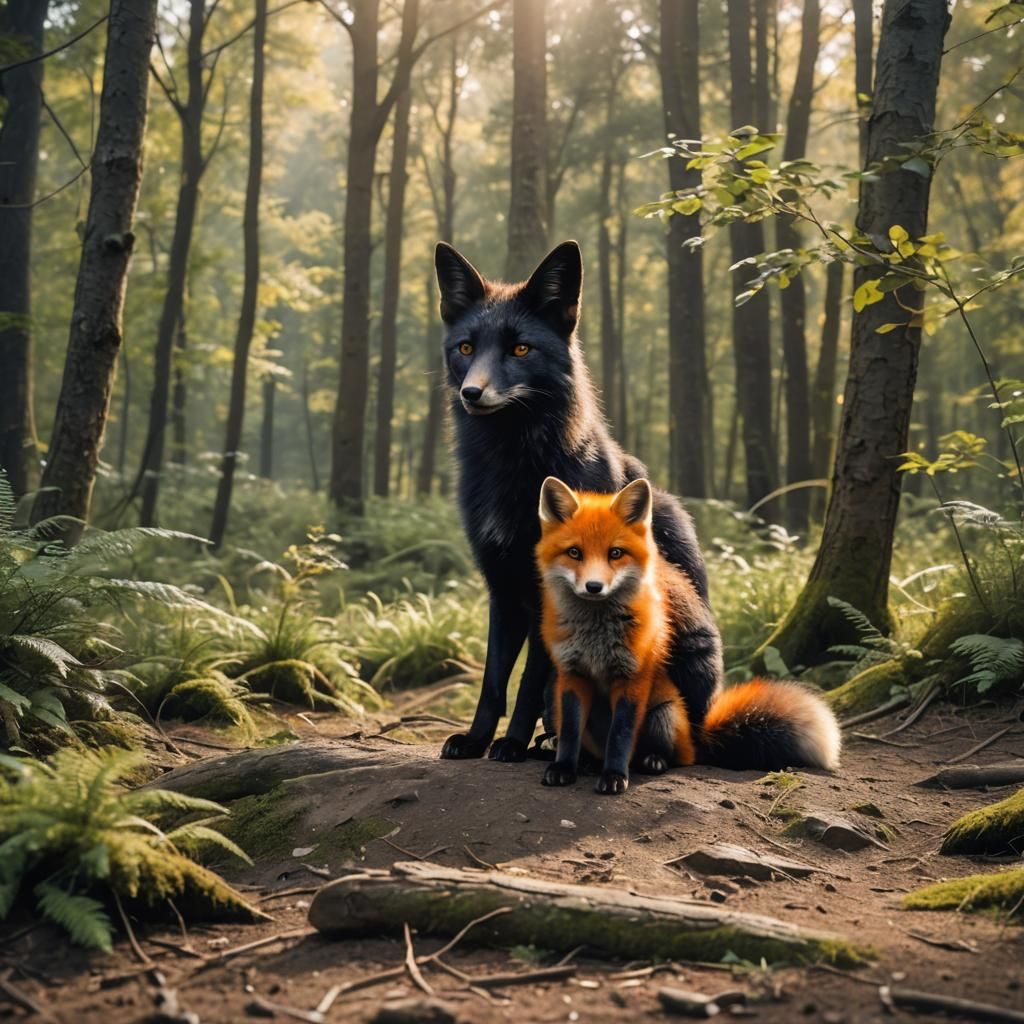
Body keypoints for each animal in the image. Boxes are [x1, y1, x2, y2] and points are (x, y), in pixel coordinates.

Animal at [435, 240, 720, 764]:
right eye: (465, 348)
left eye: (520, 348)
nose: (472, 393)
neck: (513, 473)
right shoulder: (502, 588)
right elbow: (492, 683)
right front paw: (476, 740)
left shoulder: (548, 597)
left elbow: (529, 683)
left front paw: (510, 744)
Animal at [536, 476, 841, 793]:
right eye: (574, 553)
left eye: (615, 553)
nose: (594, 587)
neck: (595, 635)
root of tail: (699, 740)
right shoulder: (572, 675)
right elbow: (570, 733)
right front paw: (563, 768)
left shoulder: (633, 678)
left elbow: (620, 736)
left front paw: (614, 776)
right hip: (557, 699)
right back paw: (587, 762)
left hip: (665, 713)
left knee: (669, 756)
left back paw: (652, 761)